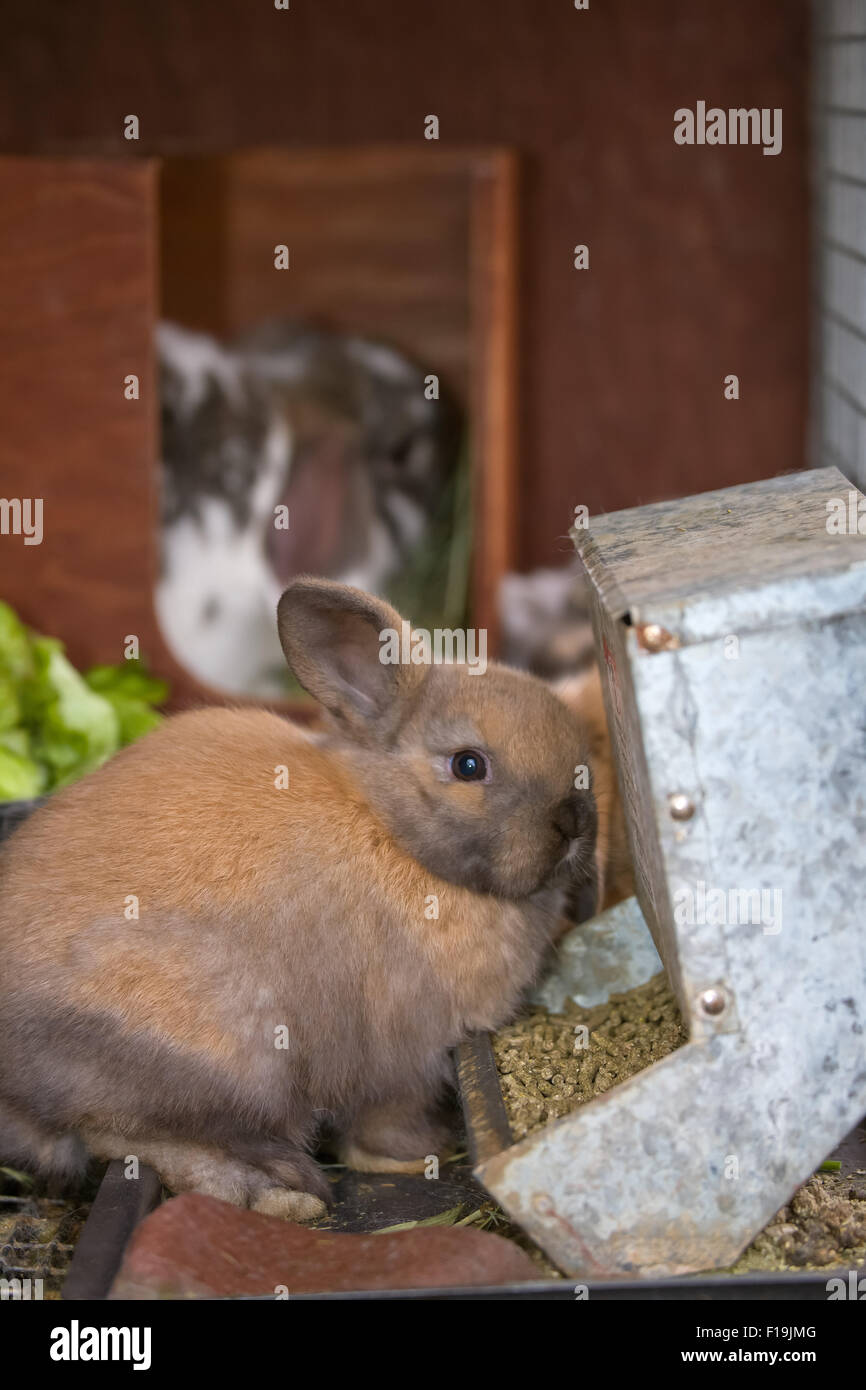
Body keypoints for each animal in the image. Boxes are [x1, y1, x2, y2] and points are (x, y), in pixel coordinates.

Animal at [0, 580, 597, 1220]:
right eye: (468, 764)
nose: (574, 820)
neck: (391, 830)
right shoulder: (404, 1056)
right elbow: (385, 1118)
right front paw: (415, 1155)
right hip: (232, 1058)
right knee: (118, 1134)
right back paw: (276, 1191)